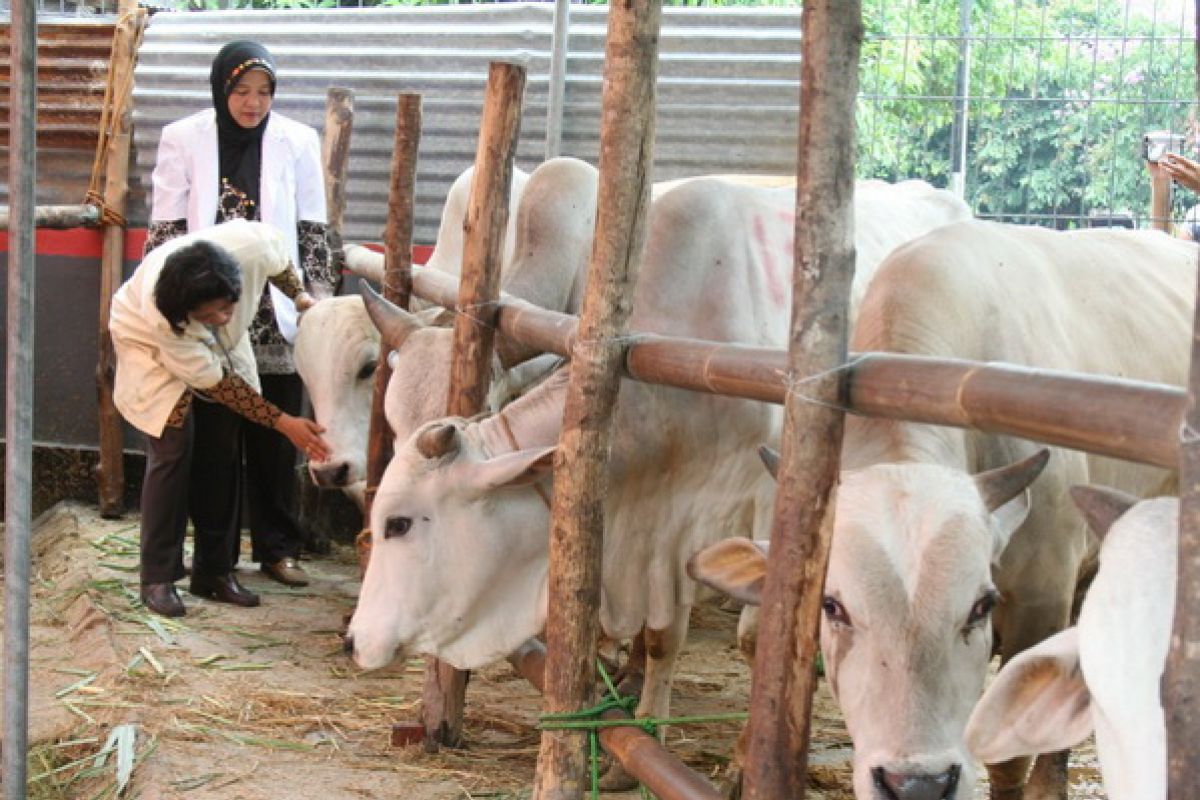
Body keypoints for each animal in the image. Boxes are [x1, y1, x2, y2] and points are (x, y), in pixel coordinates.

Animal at [343, 178, 969, 743]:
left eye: (401, 523)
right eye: (391, 423)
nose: (353, 640)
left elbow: (743, 638)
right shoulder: (658, 520)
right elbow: (656, 629)